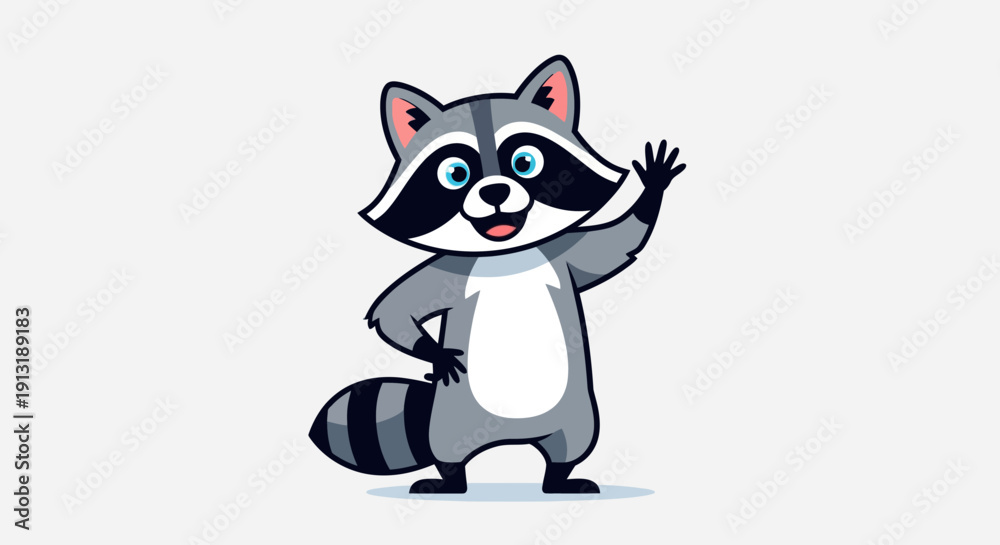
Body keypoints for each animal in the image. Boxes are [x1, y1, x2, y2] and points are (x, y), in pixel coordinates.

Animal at [309, 56, 685, 494]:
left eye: (526, 162)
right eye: (455, 173)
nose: (494, 192)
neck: (506, 254)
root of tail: (512, 436)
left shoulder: (561, 254)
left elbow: (616, 243)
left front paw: (652, 187)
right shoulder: (448, 271)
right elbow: (395, 308)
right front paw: (436, 354)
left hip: (575, 415)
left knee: (569, 446)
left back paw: (559, 480)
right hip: (451, 418)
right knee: (449, 454)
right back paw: (449, 482)